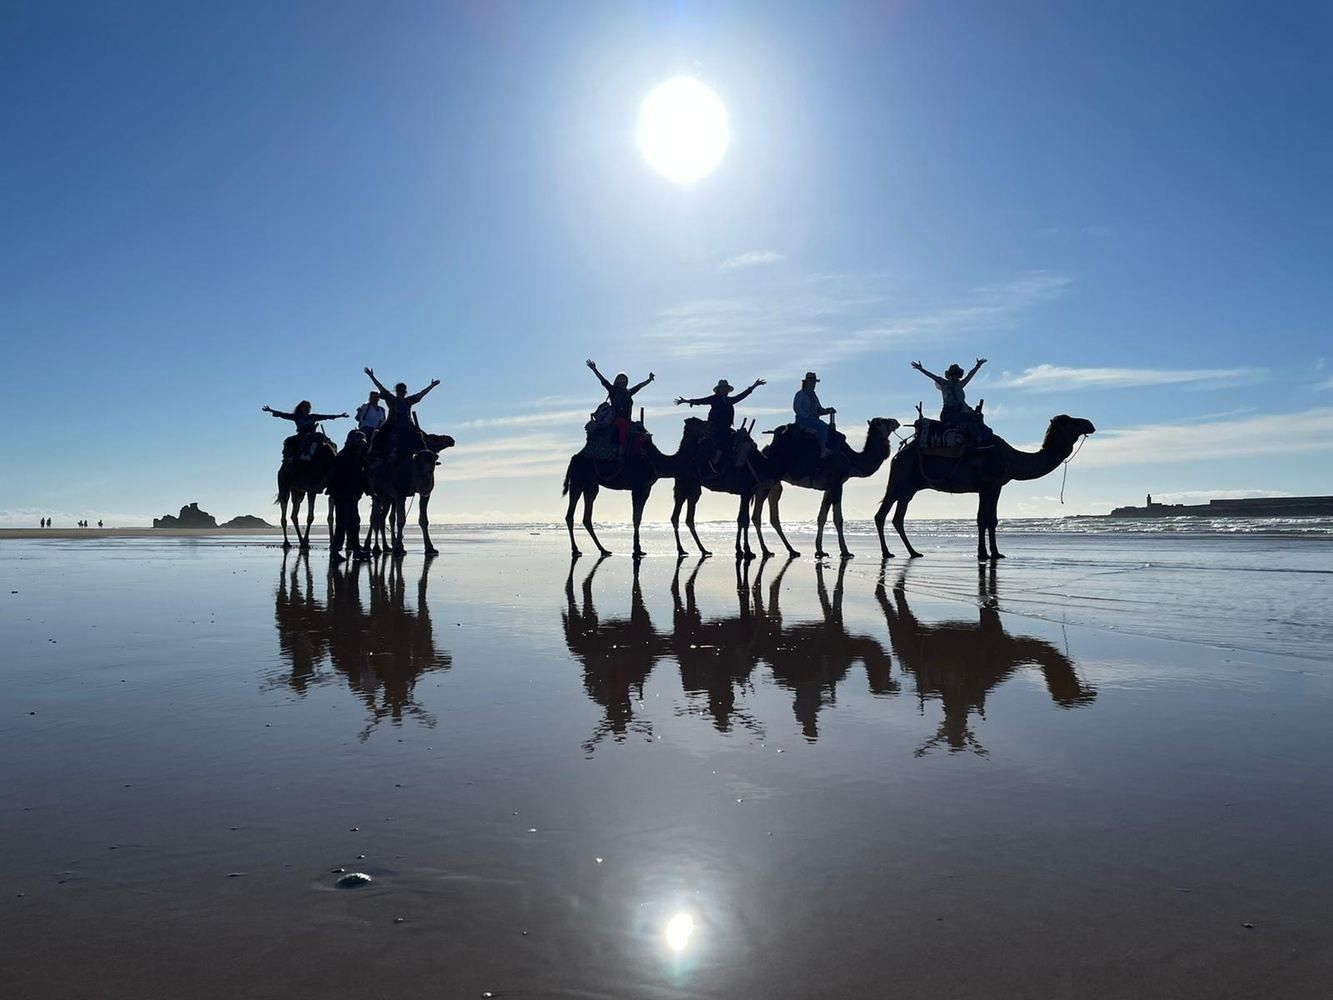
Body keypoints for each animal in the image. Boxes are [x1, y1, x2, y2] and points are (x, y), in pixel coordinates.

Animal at [562, 426, 681, 559]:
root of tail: (574, 458)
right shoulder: (638, 487)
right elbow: (636, 517)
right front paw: (637, 550)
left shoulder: (646, 488)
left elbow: (639, 517)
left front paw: (639, 549)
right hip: (577, 482)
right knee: (570, 514)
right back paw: (576, 550)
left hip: (590, 485)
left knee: (586, 517)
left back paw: (603, 550)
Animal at [669, 418, 780, 559]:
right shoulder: (746, 491)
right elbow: (744, 520)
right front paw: (747, 551)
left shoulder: (746, 493)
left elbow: (741, 519)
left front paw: (741, 550)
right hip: (683, 484)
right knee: (675, 516)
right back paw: (681, 550)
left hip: (694, 488)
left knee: (689, 518)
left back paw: (703, 550)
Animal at [752, 417, 902, 560]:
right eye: (884, 421)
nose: (896, 422)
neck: (851, 460)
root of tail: (766, 450)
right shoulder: (836, 483)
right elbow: (838, 519)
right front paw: (845, 551)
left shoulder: (829, 488)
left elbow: (822, 517)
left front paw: (820, 551)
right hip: (769, 479)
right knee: (757, 514)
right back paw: (766, 551)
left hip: (775, 485)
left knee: (773, 516)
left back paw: (791, 550)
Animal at [874, 414, 1095, 561]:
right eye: (1071, 421)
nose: (1090, 424)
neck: (1011, 458)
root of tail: (897, 455)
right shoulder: (985, 486)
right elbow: (981, 519)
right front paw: (983, 554)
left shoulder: (996, 487)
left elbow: (992, 520)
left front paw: (996, 553)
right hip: (898, 480)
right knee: (881, 515)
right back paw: (888, 553)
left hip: (908, 488)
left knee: (897, 517)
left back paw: (913, 552)